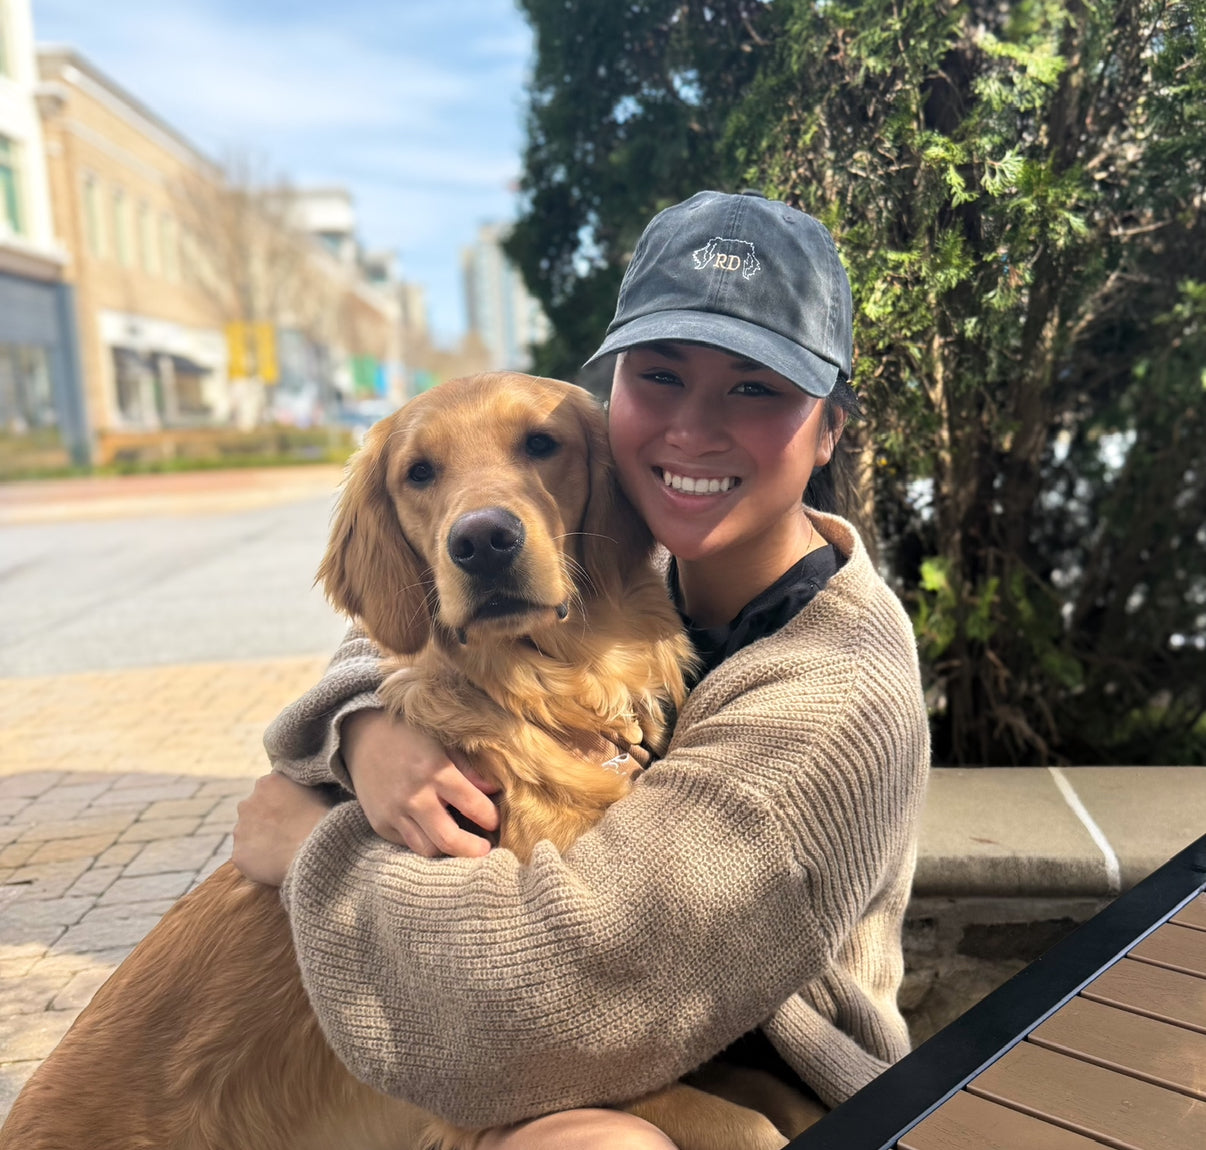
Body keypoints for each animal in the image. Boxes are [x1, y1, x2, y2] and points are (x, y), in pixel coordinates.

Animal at [4, 371, 810, 1142]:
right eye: (419, 472)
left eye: (541, 443)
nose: (482, 541)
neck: (546, 698)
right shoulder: (510, 1080)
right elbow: (755, 1124)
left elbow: (780, 1096)